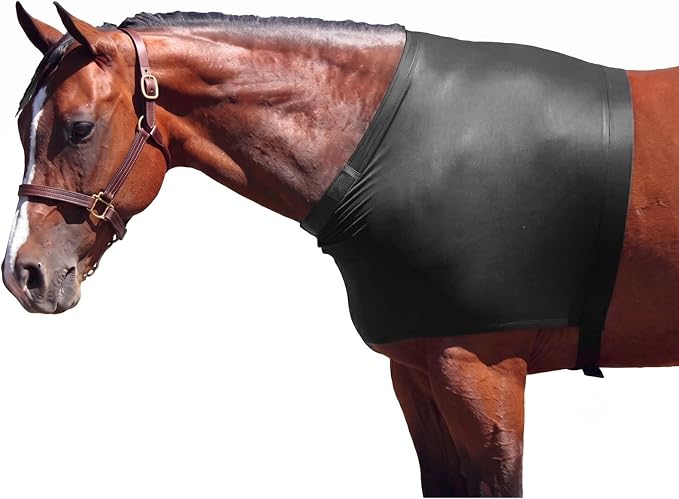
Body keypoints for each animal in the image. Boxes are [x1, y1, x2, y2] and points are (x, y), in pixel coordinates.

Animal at [3, 3, 679, 497]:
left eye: (79, 128)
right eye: (19, 124)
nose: (24, 273)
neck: (393, 150)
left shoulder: (484, 371)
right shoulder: (416, 369)